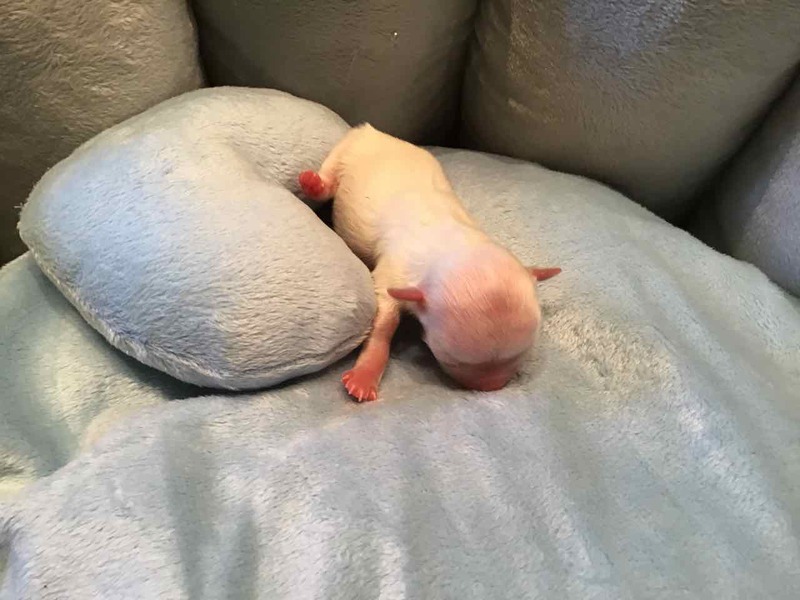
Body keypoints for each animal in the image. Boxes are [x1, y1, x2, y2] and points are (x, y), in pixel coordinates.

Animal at [299, 124, 560, 401]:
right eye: (454, 360)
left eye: (521, 355)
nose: (491, 388)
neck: (456, 243)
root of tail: (379, 133)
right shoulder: (393, 274)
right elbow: (383, 322)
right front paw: (364, 376)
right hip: (346, 148)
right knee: (329, 178)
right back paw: (313, 182)